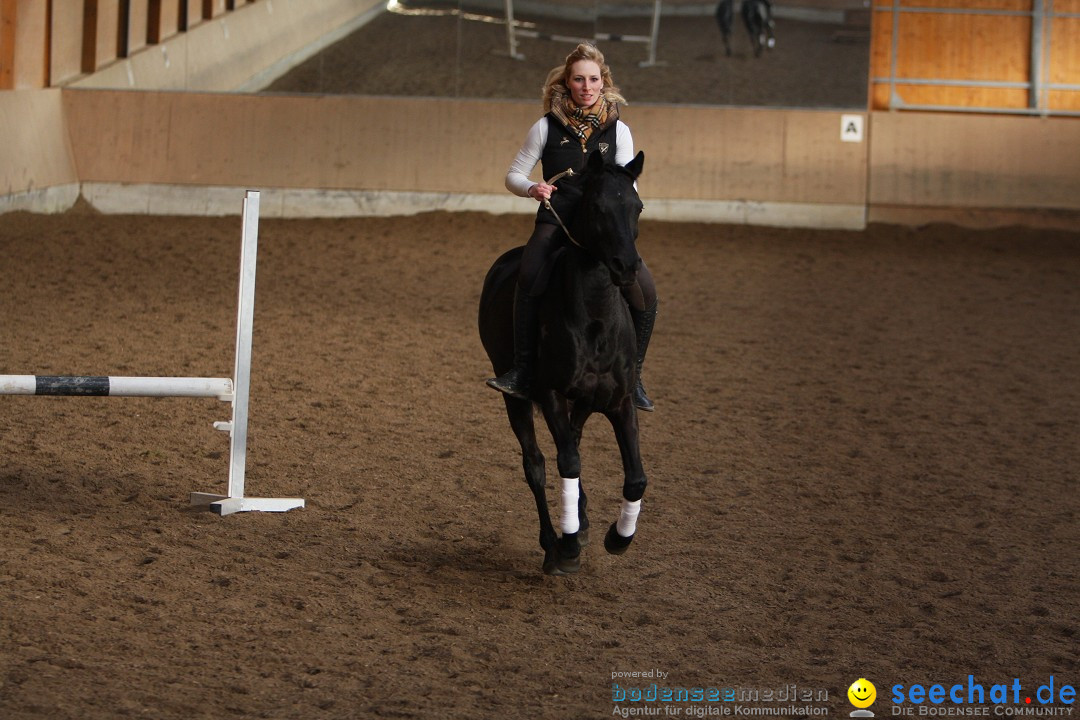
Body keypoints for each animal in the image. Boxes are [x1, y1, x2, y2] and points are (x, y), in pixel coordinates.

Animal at [481, 151, 648, 574]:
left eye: (637, 206)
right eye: (599, 207)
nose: (627, 267)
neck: (595, 318)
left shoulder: (619, 402)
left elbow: (635, 477)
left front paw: (617, 538)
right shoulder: (552, 394)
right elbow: (567, 464)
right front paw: (569, 545)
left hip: (585, 402)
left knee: (572, 442)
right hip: (514, 397)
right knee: (538, 465)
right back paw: (552, 544)